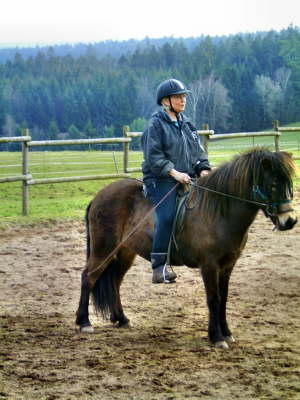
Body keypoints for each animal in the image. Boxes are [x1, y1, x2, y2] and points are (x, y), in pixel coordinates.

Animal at [75, 148, 298, 348]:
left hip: (124, 253)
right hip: (103, 249)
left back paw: (121, 319)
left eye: (289, 183)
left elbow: (224, 298)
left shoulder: (228, 265)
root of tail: (98, 197)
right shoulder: (209, 265)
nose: (290, 221)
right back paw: (84, 322)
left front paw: (226, 333)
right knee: (88, 277)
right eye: (273, 184)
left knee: (114, 282)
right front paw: (216, 337)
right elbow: (214, 299)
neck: (219, 212)